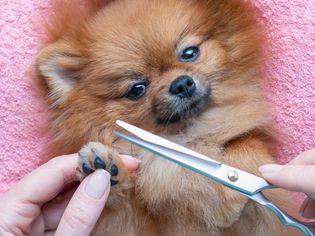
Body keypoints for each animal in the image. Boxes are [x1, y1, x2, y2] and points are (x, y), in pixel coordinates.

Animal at [36, 0, 298, 235]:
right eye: (137, 89)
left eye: (190, 53)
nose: (181, 84)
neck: (186, 138)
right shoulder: (133, 222)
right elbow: (125, 207)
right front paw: (107, 169)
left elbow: (246, 143)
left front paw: (229, 193)